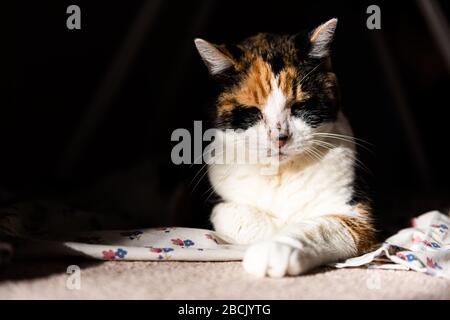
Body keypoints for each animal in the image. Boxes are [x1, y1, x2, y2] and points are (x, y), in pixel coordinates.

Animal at [195, 18, 374, 276]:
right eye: (252, 112)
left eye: (299, 106)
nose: (279, 137)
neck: (280, 174)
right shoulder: (220, 203)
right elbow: (229, 214)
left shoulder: (354, 214)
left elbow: (316, 226)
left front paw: (274, 249)